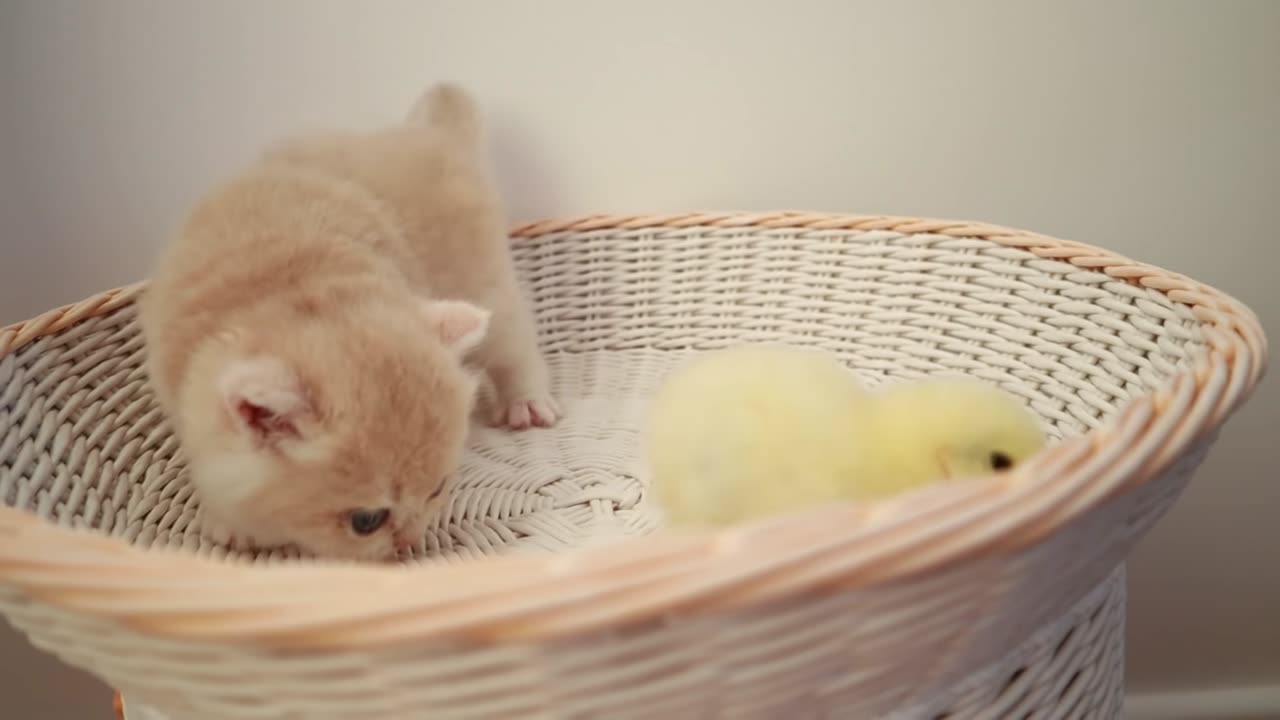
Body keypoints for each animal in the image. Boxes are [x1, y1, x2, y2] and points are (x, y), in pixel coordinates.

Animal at [141, 83, 560, 561]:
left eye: (437, 489)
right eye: (366, 521)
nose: (410, 543)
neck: (293, 287)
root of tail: (427, 134)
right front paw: (231, 524)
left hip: (484, 283)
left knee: (514, 346)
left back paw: (527, 402)